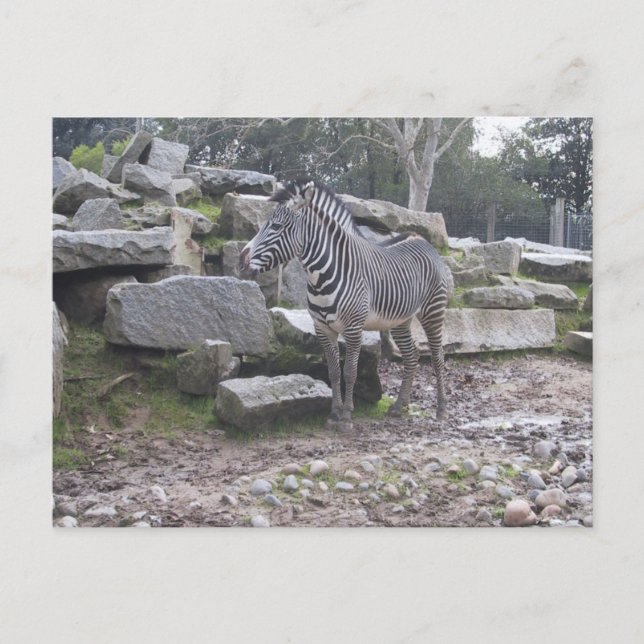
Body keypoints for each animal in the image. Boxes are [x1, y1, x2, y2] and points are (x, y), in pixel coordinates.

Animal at [240, 180, 449, 428]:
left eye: (277, 227)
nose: (240, 261)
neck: (321, 276)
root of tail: (421, 239)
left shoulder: (353, 327)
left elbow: (349, 371)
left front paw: (347, 415)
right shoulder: (322, 329)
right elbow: (333, 372)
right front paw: (333, 413)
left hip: (433, 311)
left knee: (437, 356)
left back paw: (441, 409)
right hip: (400, 319)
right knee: (412, 355)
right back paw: (400, 406)